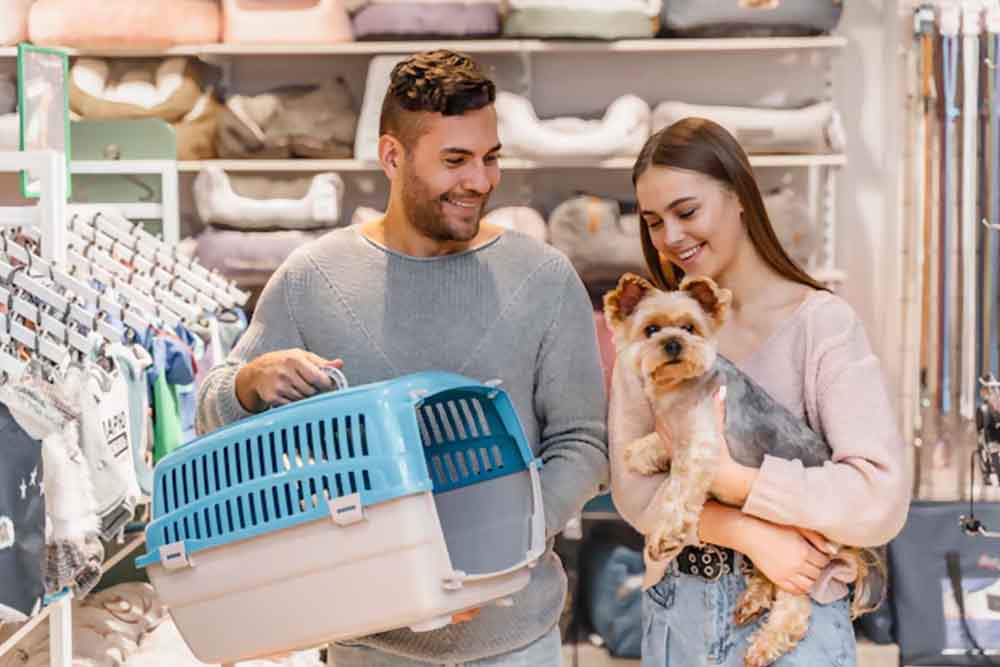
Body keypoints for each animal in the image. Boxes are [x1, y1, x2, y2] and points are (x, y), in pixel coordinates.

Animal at [604, 272, 880, 667]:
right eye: (651, 329)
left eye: (689, 327)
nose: (673, 343)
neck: (678, 387)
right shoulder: (674, 433)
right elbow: (649, 446)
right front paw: (640, 453)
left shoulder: (702, 445)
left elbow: (678, 490)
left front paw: (665, 535)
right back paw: (754, 600)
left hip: (798, 542)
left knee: (794, 605)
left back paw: (765, 644)